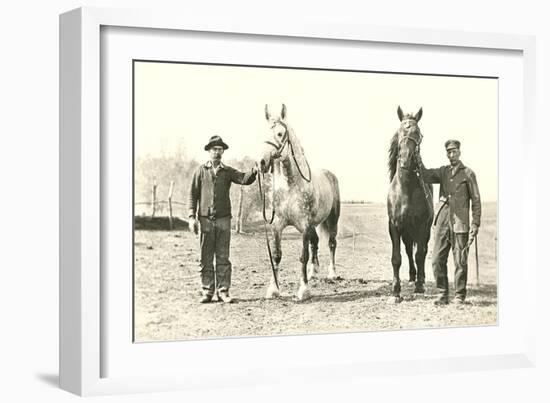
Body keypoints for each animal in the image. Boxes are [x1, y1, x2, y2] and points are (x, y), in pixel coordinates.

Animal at [258, 105, 340, 302]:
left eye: (280, 133)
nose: (262, 162)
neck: (291, 185)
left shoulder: (304, 226)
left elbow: (303, 256)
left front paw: (303, 290)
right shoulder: (277, 225)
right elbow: (276, 255)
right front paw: (273, 289)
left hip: (332, 219)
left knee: (331, 243)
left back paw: (332, 274)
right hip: (314, 225)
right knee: (315, 242)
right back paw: (313, 273)